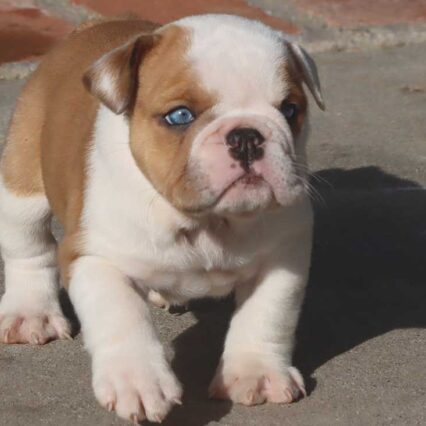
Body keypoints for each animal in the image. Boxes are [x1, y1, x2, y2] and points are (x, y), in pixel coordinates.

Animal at [0, 13, 322, 422]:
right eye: (180, 116)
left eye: (290, 110)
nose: (246, 136)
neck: (206, 222)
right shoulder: (94, 258)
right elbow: (122, 315)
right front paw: (137, 382)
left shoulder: (283, 254)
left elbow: (267, 314)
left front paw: (257, 373)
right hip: (21, 181)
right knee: (28, 248)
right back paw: (30, 314)